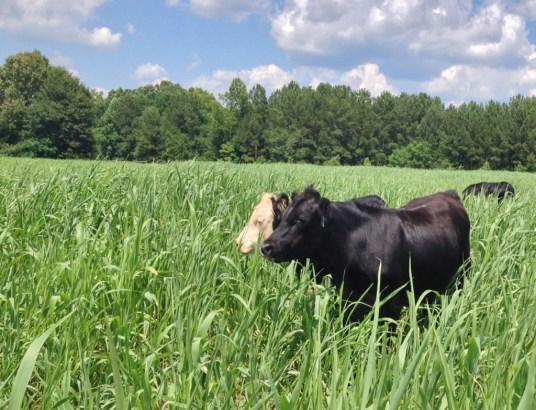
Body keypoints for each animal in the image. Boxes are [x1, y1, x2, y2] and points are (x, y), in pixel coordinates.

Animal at [262, 188, 472, 320]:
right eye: (282, 217)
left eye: (301, 219)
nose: (266, 246)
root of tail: (449, 194)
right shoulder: (349, 297)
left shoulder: (393, 303)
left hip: (464, 270)